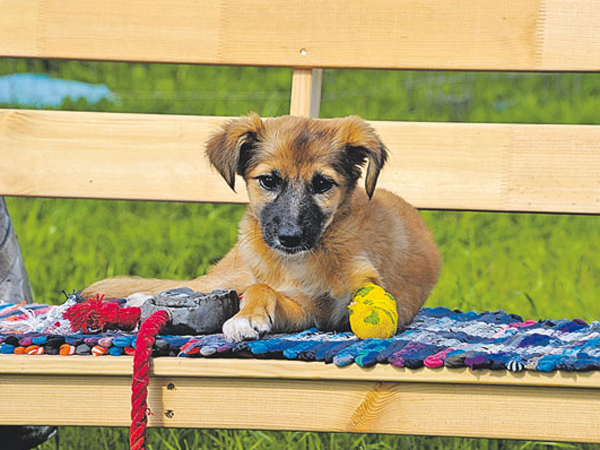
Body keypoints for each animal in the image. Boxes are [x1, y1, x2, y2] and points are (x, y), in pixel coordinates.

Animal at [83, 115, 440, 342]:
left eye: (322, 184)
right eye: (269, 180)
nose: (290, 238)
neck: (301, 261)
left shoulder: (320, 309)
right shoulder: (300, 301)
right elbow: (261, 288)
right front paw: (247, 316)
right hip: (235, 271)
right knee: (200, 284)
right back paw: (140, 297)